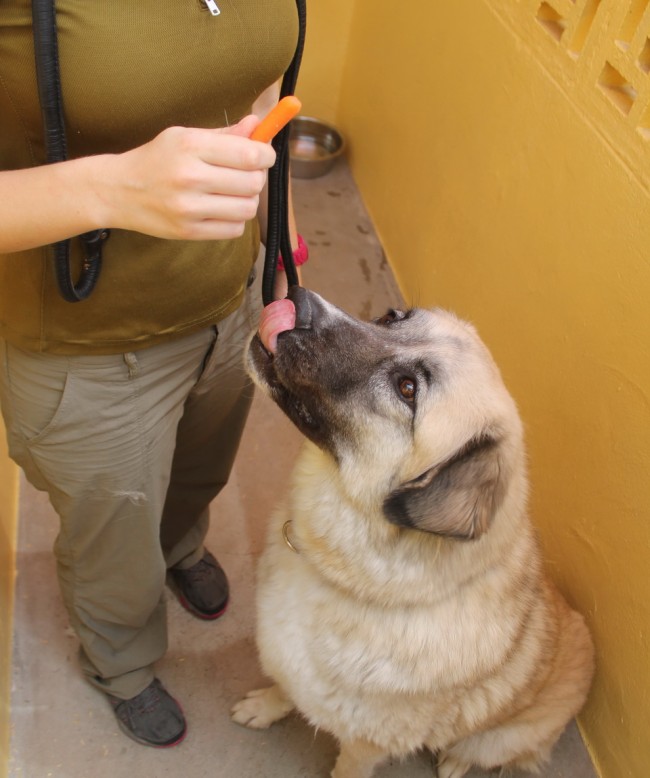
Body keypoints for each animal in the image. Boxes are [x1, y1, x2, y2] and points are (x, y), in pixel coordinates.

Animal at [232, 286, 592, 776]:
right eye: (391, 318)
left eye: (407, 389)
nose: (299, 301)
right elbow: (284, 688)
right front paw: (264, 707)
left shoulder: (365, 748)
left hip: (501, 738)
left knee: (482, 749)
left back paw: (454, 762)